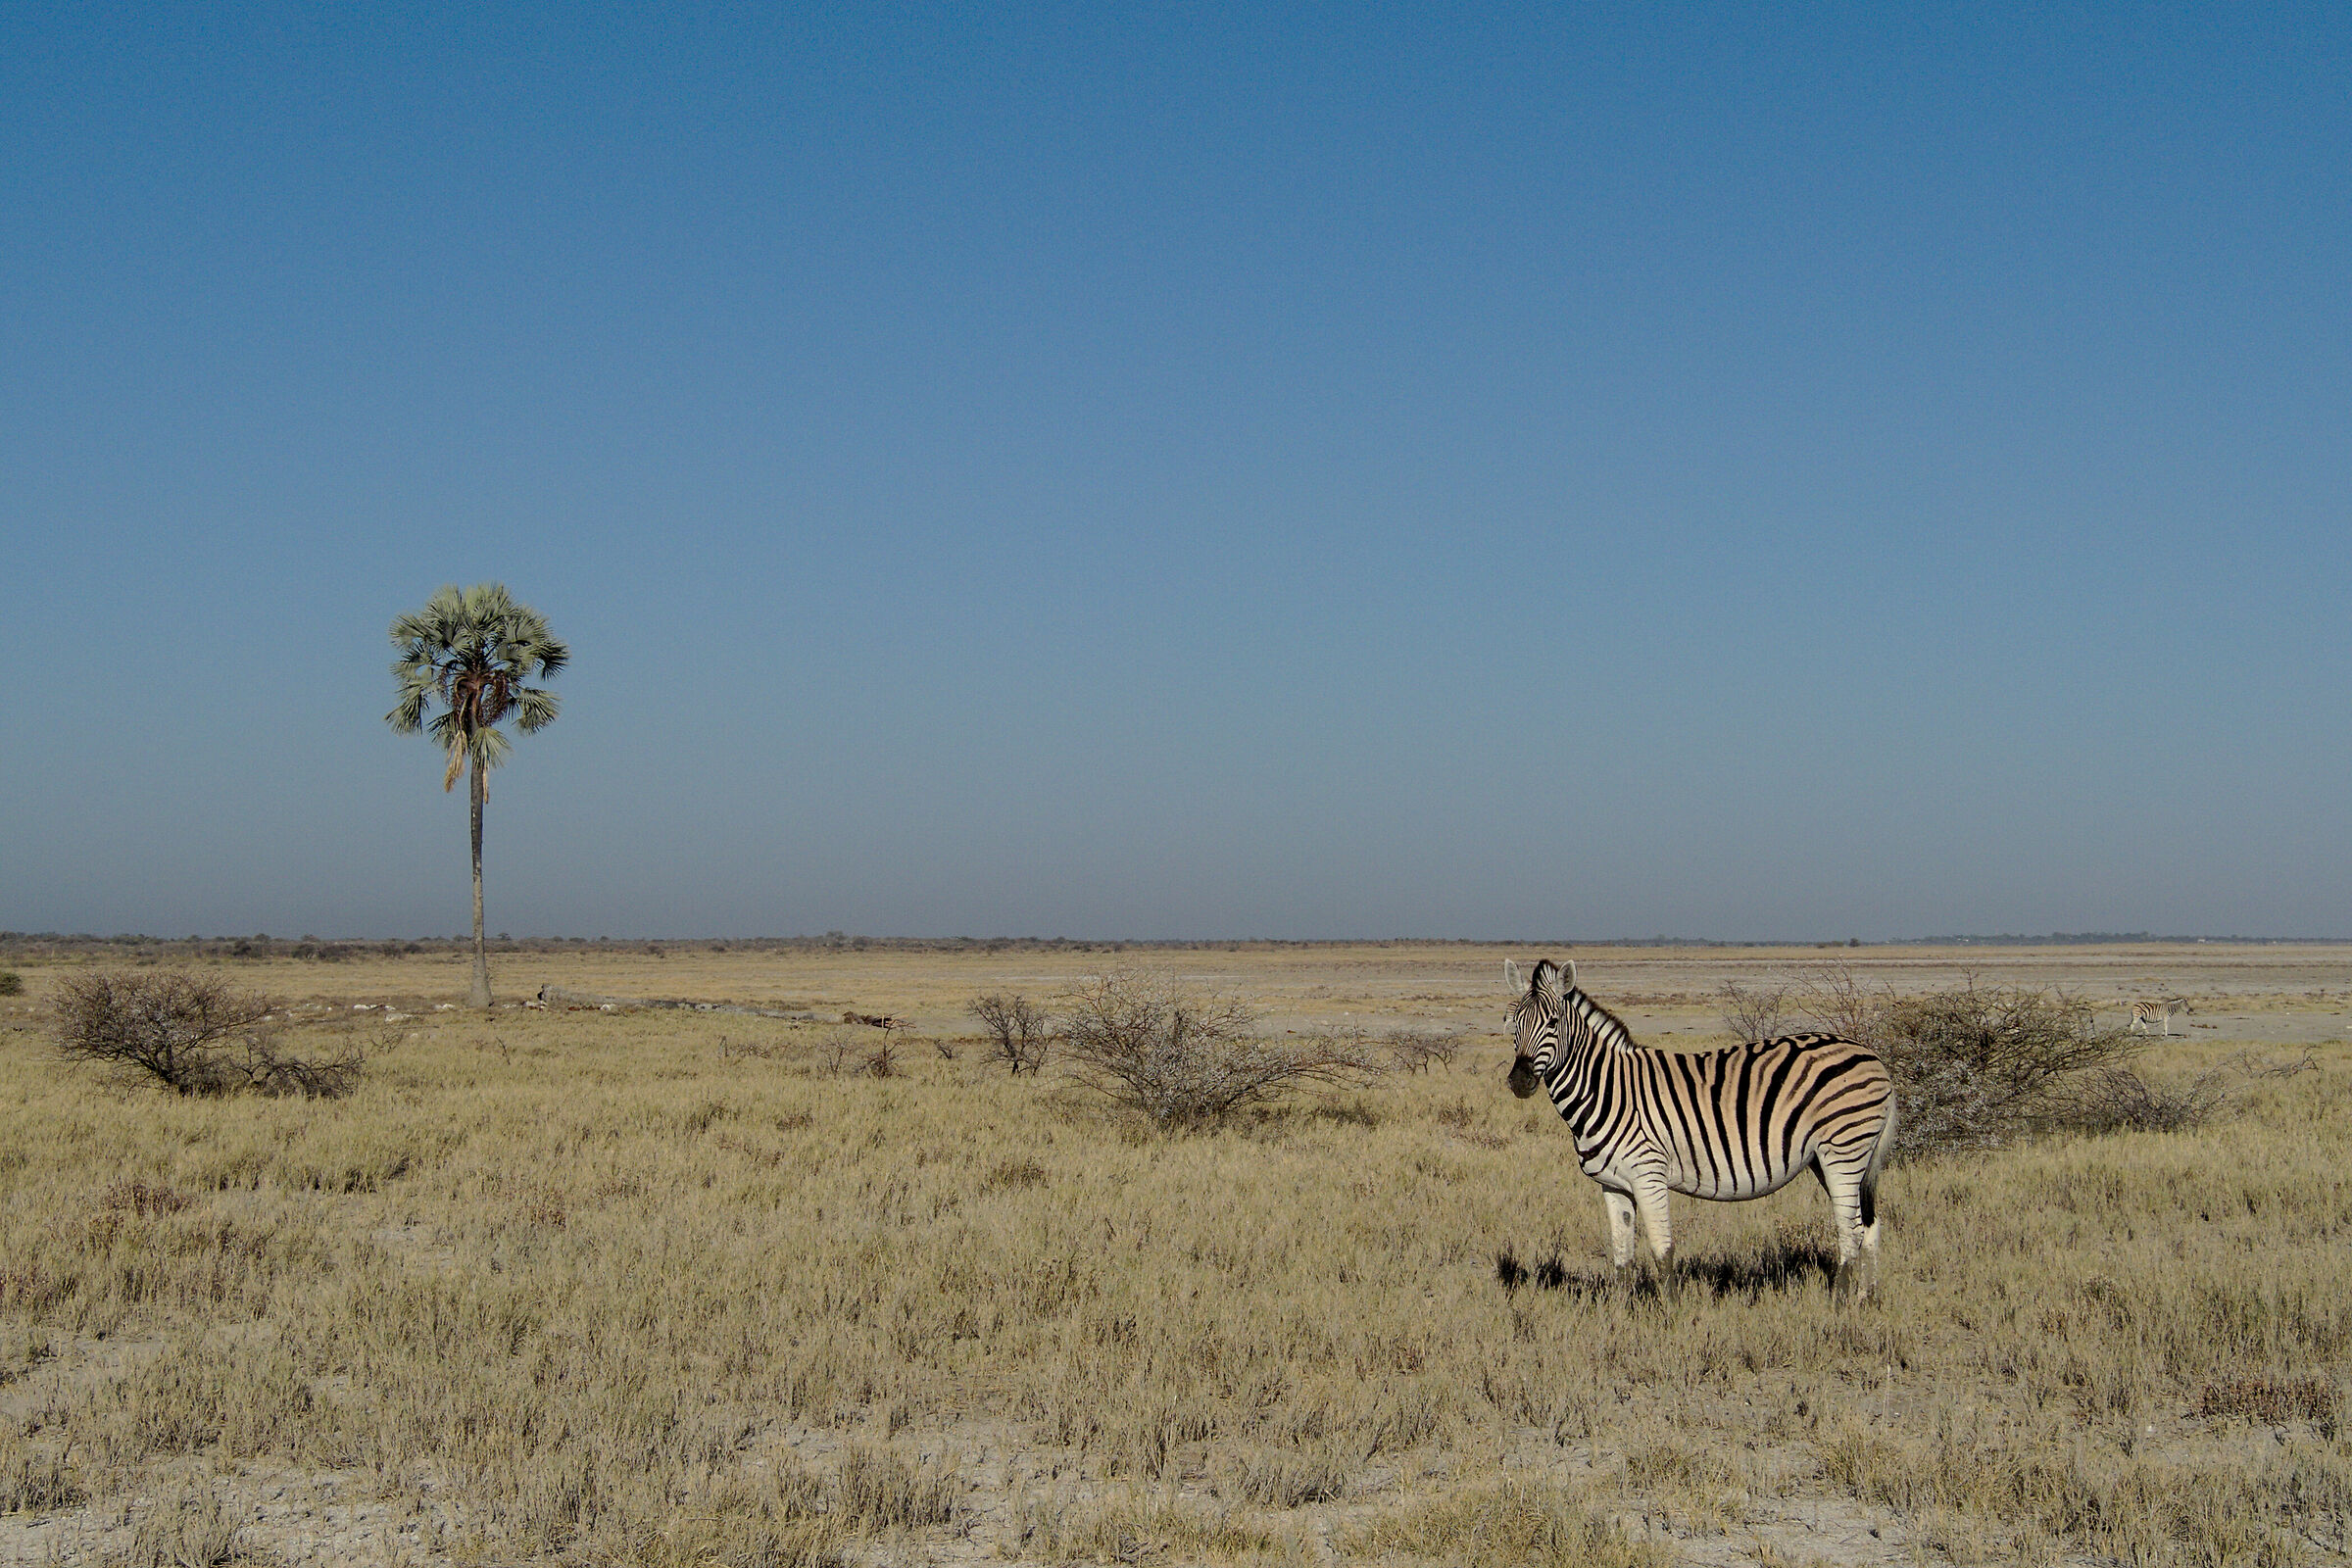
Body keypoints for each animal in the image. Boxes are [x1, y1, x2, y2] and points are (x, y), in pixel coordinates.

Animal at [1504, 958, 1897, 1302]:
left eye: (1554, 1022)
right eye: (1512, 1022)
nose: (1519, 1081)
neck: (1609, 1090)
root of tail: (1871, 1054)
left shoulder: (1649, 1176)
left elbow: (1662, 1250)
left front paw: (1670, 1316)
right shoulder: (1613, 1185)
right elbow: (1621, 1255)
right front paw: (1619, 1314)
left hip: (1843, 1149)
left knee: (1850, 1229)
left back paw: (1839, 1305)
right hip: (1828, 1157)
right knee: (1868, 1226)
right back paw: (1867, 1299)